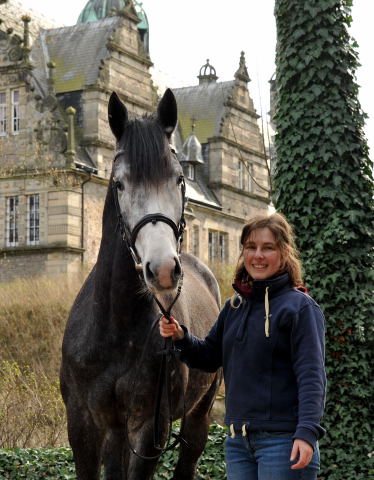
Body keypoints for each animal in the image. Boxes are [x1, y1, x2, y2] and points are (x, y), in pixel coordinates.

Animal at [59, 88, 221, 478]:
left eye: (180, 179)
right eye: (119, 183)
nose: (162, 269)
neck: (116, 327)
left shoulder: (149, 427)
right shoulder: (83, 425)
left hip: (199, 415)